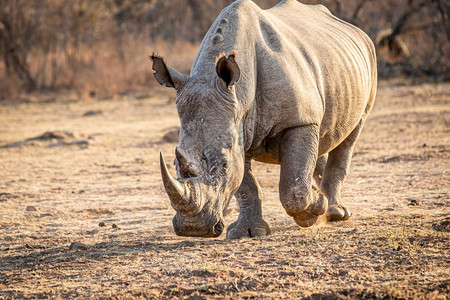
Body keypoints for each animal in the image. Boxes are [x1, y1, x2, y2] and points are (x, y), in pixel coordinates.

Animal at [150, 0, 376, 239]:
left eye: (224, 165)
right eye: (174, 164)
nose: (193, 229)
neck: (239, 93)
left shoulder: (300, 121)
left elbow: (291, 188)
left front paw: (313, 212)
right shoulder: (237, 128)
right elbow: (245, 185)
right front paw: (247, 231)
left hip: (368, 59)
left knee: (349, 136)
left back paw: (334, 213)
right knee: (323, 139)